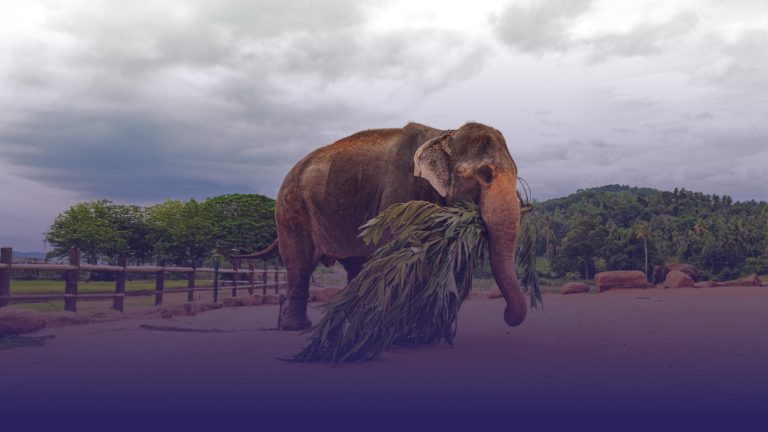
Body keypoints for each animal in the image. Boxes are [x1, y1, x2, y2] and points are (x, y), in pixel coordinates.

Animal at [255, 122, 528, 330]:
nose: (506, 315)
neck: (444, 133)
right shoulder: (399, 193)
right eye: (485, 174)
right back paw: (296, 326)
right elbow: (404, 250)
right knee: (300, 264)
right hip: (292, 210)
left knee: (355, 264)